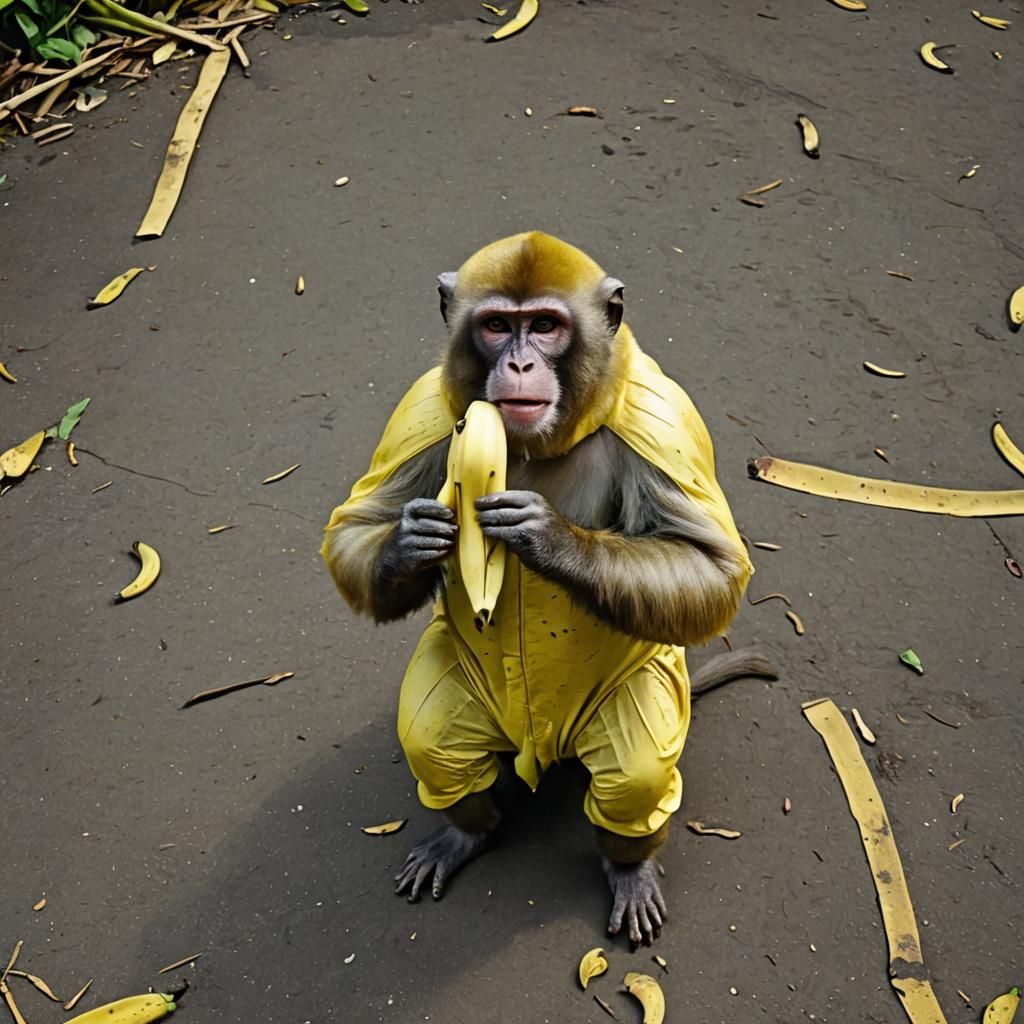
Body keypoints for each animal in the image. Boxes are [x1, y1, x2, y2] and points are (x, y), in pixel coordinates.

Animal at [321, 232, 758, 946]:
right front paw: (411, 540)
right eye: (499, 325)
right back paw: (465, 833)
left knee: (633, 779)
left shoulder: (662, 427)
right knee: (433, 742)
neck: (535, 440)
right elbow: (352, 528)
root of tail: (541, 755)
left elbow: (714, 570)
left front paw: (547, 538)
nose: (521, 362)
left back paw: (629, 866)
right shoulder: (423, 413)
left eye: (546, 326)